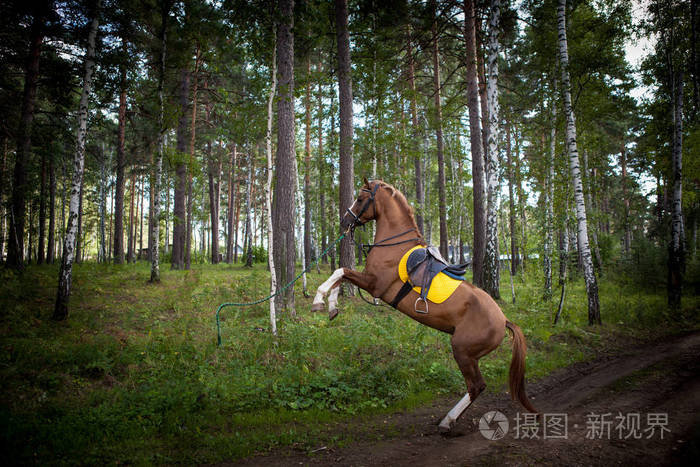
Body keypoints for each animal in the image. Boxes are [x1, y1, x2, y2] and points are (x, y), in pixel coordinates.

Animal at [312, 180, 536, 436]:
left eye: (360, 199)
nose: (345, 221)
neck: (393, 245)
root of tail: (503, 320)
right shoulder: (368, 281)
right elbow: (340, 278)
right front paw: (331, 307)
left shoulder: (374, 285)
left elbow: (340, 272)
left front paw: (318, 300)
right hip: (469, 354)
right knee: (476, 386)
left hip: (463, 351)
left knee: (476, 386)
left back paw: (447, 421)